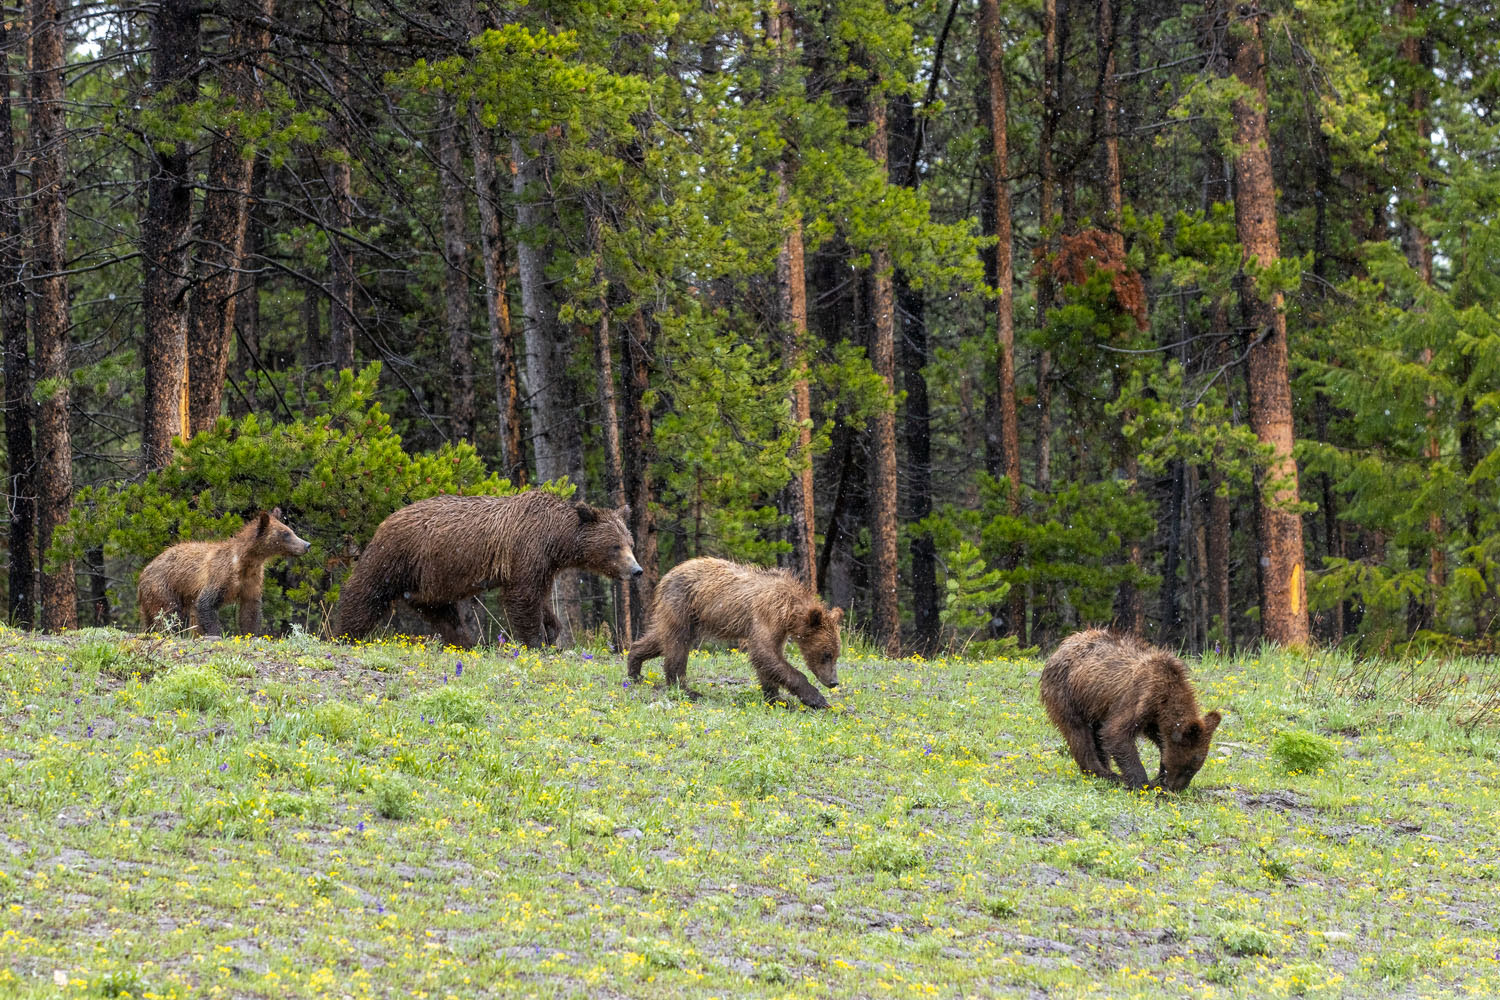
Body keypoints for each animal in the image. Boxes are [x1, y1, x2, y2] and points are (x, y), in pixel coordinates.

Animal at [141, 503, 315, 638]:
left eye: (290, 530)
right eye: (286, 533)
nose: (307, 545)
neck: (245, 562)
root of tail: (144, 571)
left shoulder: (252, 579)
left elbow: (250, 609)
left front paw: (251, 633)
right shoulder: (220, 575)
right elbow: (206, 603)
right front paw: (216, 633)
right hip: (164, 587)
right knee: (169, 613)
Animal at [334, 491, 639, 650]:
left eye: (630, 542)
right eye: (614, 546)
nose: (637, 570)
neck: (554, 539)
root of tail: (387, 518)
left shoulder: (543, 564)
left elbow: (539, 598)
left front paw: (552, 630)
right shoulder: (525, 551)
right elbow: (522, 598)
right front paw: (536, 640)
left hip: (430, 578)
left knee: (439, 610)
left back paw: (463, 642)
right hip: (398, 554)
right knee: (368, 590)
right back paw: (344, 634)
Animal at [627, 560, 852, 707]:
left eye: (836, 654)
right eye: (826, 654)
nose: (833, 682)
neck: (788, 610)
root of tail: (666, 575)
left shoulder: (778, 629)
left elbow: (769, 659)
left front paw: (776, 697)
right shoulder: (766, 615)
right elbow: (764, 653)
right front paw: (816, 698)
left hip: (688, 615)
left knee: (660, 639)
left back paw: (634, 668)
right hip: (682, 604)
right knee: (677, 644)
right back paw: (687, 689)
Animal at [1044, 632, 1218, 791]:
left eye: (1194, 769)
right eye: (1188, 768)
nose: (1177, 788)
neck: (1166, 696)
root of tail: (1060, 647)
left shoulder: (1154, 717)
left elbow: (1161, 740)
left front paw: (1159, 777)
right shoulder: (1140, 698)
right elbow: (1116, 733)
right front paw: (1142, 783)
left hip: (1094, 705)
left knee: (1096, 734)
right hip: (1067, 693)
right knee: (1078, 733)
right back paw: (1105, 773)